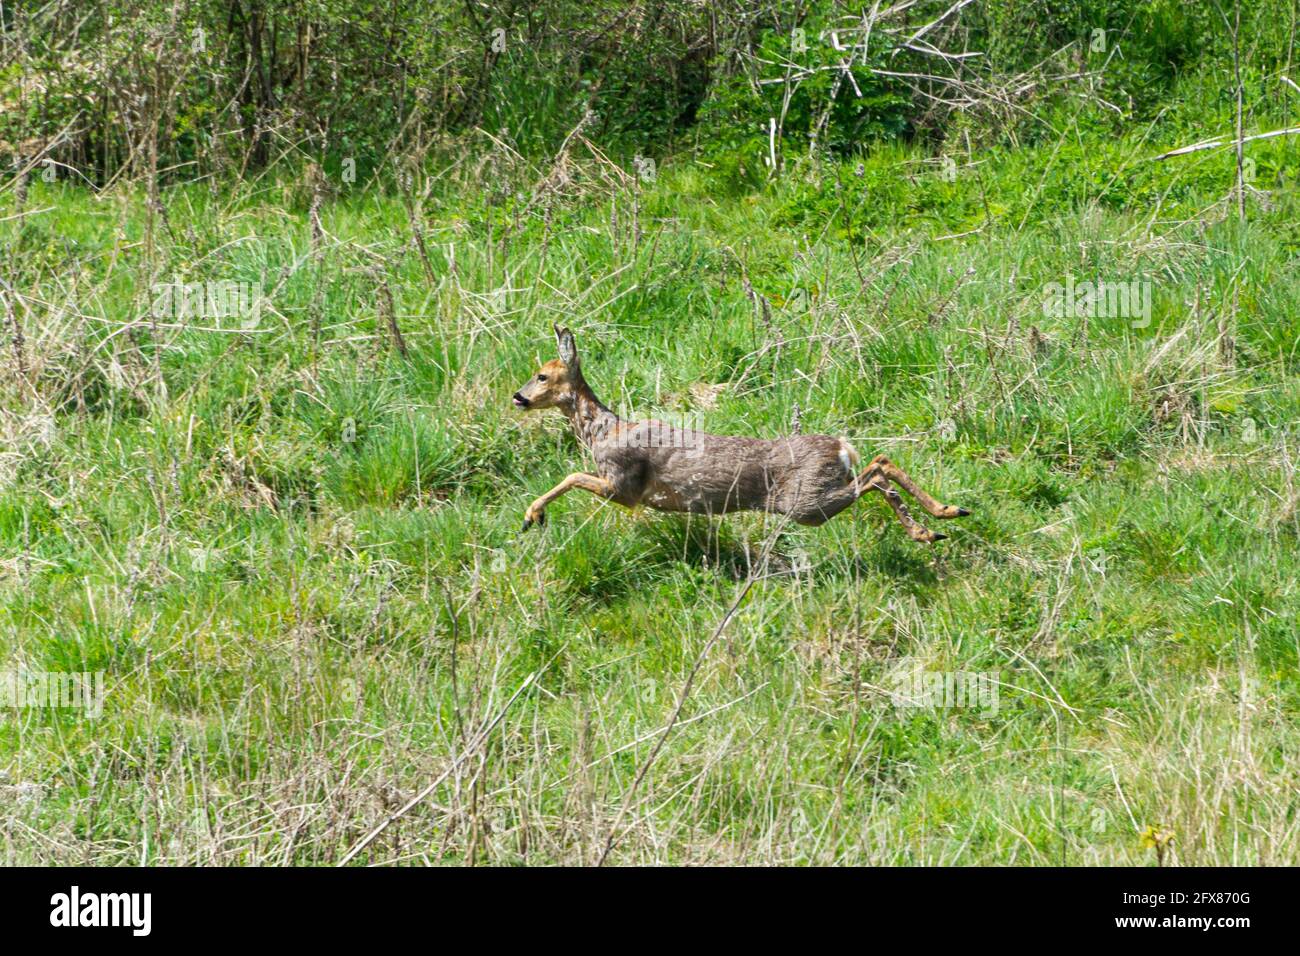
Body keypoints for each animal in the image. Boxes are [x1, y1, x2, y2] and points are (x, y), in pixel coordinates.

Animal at [512, 327, 972, 538]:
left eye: (541, 375)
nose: (518, 397)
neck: (603, 431)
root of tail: (843, 447)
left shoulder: (623, 485)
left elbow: (572, 476)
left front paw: (532, 514)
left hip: (804, 502)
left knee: (876, 474)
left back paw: (933, 524)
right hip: (816, 493)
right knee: (882, 462)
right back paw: (942, 518)